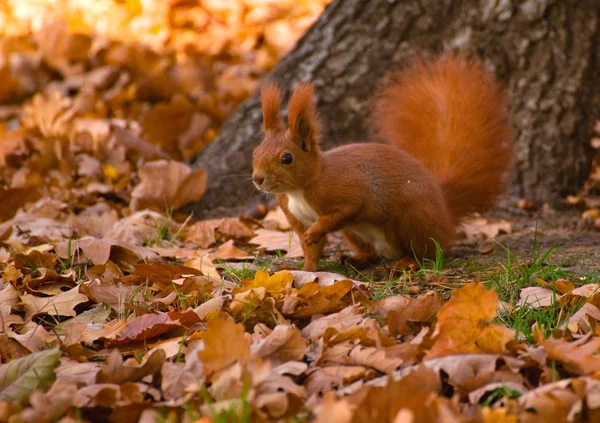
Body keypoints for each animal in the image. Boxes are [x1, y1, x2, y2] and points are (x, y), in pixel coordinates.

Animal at [251, 53, 512, 272]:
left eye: (287, 158)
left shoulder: (345, 191)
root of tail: (445, 213)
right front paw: (305, 269)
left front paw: (315, 233)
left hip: (413, 217)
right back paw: (357, 259)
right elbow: (311, 250)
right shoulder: (296, 216)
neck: (300, 189)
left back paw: (408, 261)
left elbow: (344, 211)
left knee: (428, 250)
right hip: (355, 234)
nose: (257, 179)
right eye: (255, 153)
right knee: (374, 252)